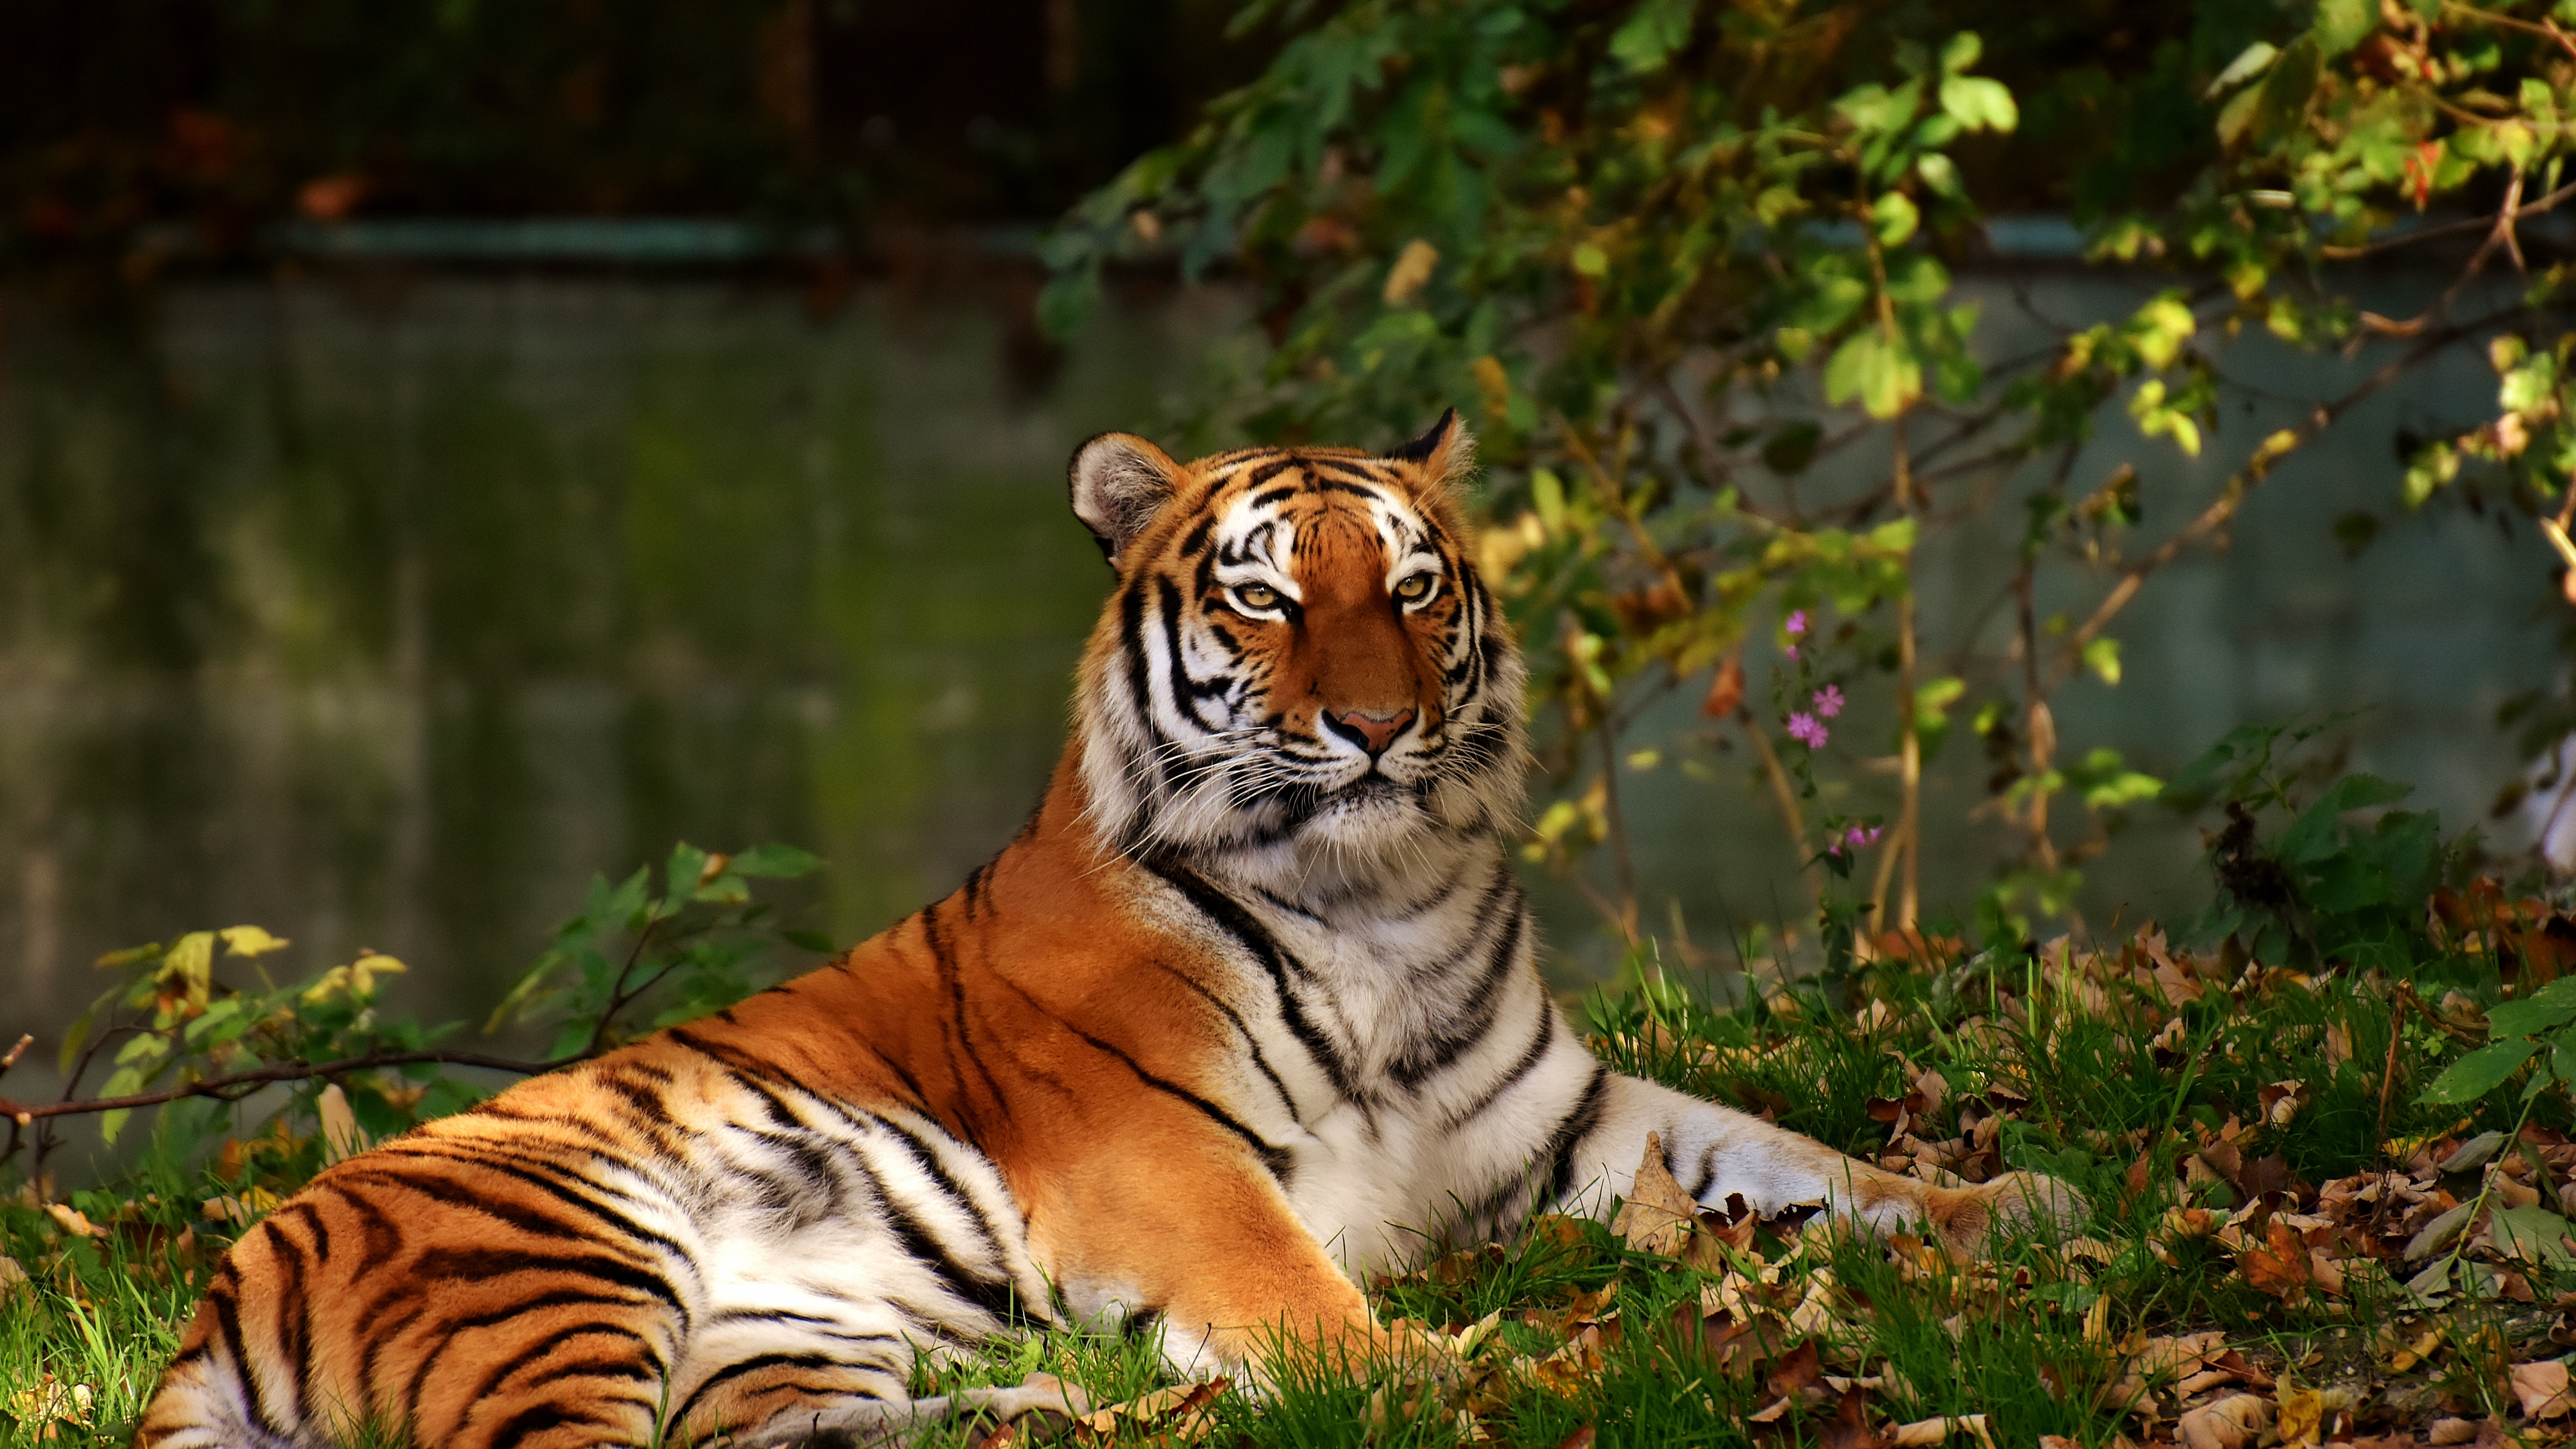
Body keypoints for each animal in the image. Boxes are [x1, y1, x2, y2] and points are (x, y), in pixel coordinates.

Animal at [138, 412, 2080, 1449]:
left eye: (1415, 585)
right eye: (1267, 596)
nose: (1375, 725)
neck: (1382, 902)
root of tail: (230, 1274)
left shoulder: (1569, 1118)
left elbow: (1799, 1154)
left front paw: (2011, 1203)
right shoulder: (1162, 1153)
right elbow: (1295, 1293)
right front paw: (1440, 1374)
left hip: (781, 1329)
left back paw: (1048, 1411)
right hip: (568, 1253)